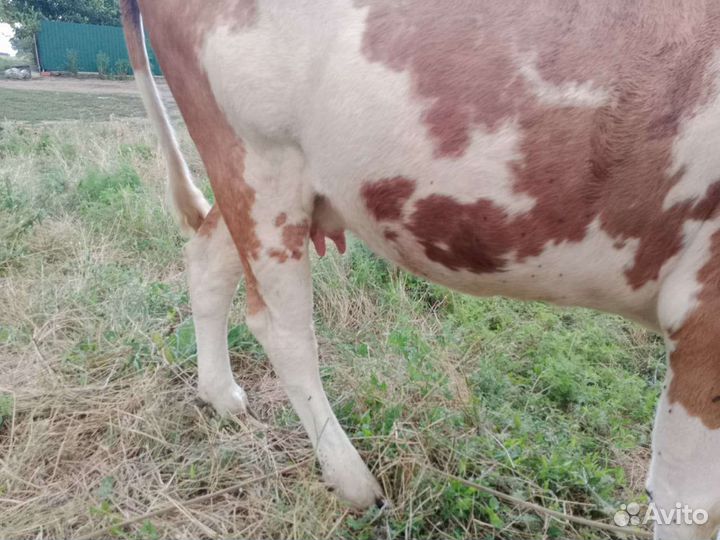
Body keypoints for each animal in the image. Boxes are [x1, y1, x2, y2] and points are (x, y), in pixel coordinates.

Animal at [120, 1, 720, 538]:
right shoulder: (704, 317)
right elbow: (692, 501)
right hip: (258, 158)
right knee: (283, 329)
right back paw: (355, 483)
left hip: (257, 180)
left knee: (207, 258)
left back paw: (222, 397)